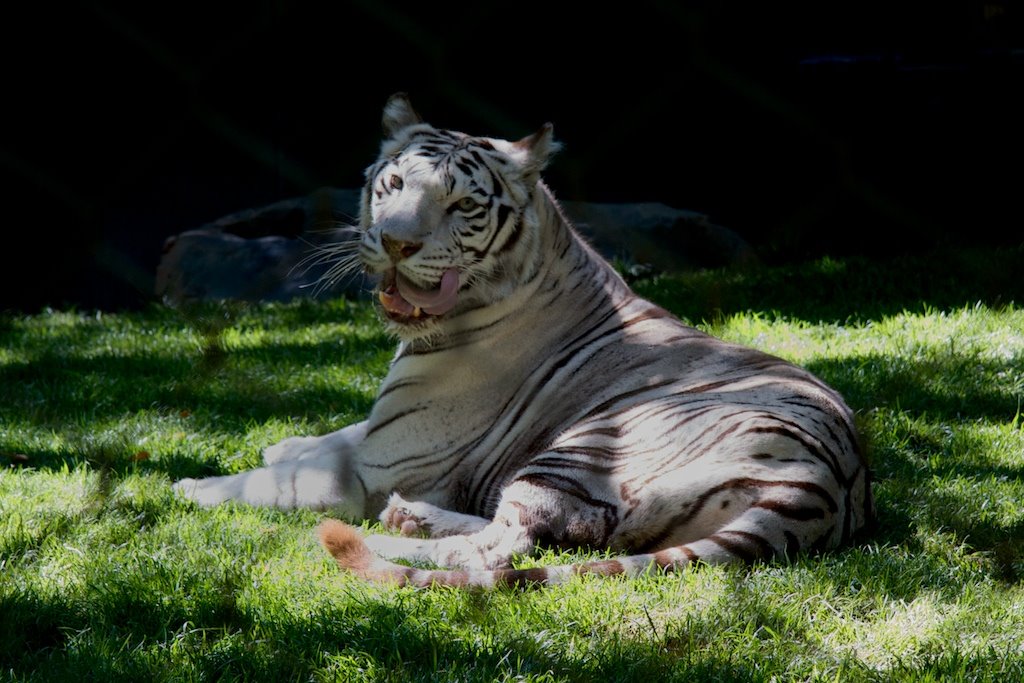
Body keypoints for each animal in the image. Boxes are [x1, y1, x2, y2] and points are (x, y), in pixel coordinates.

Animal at [174, 94, 872, 589]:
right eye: (394, 186)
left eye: (461, 206)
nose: (397, 243)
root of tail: (820, 486)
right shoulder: (383, 435)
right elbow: (331, 436)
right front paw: (283, 443)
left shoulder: (378, 464)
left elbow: (270, 485)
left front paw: (190, 488)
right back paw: (409, 517)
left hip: (587, 444)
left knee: (506, 547)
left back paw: (391, 534)